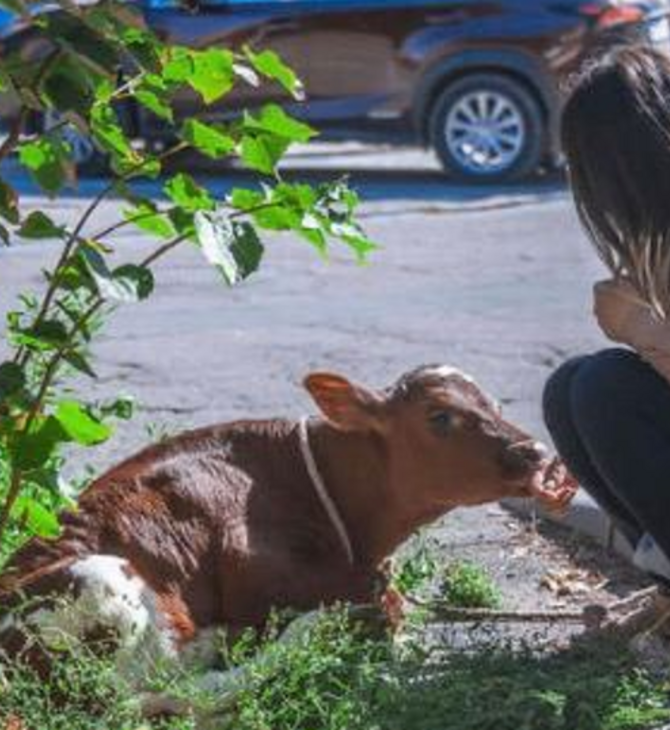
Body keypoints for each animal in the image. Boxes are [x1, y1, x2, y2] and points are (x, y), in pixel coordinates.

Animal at [0, 364, 576, 676]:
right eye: (440, 417)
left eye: (493, 403)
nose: (537, 454)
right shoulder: (256, 572)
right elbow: (384, 606)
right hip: (106, 580)